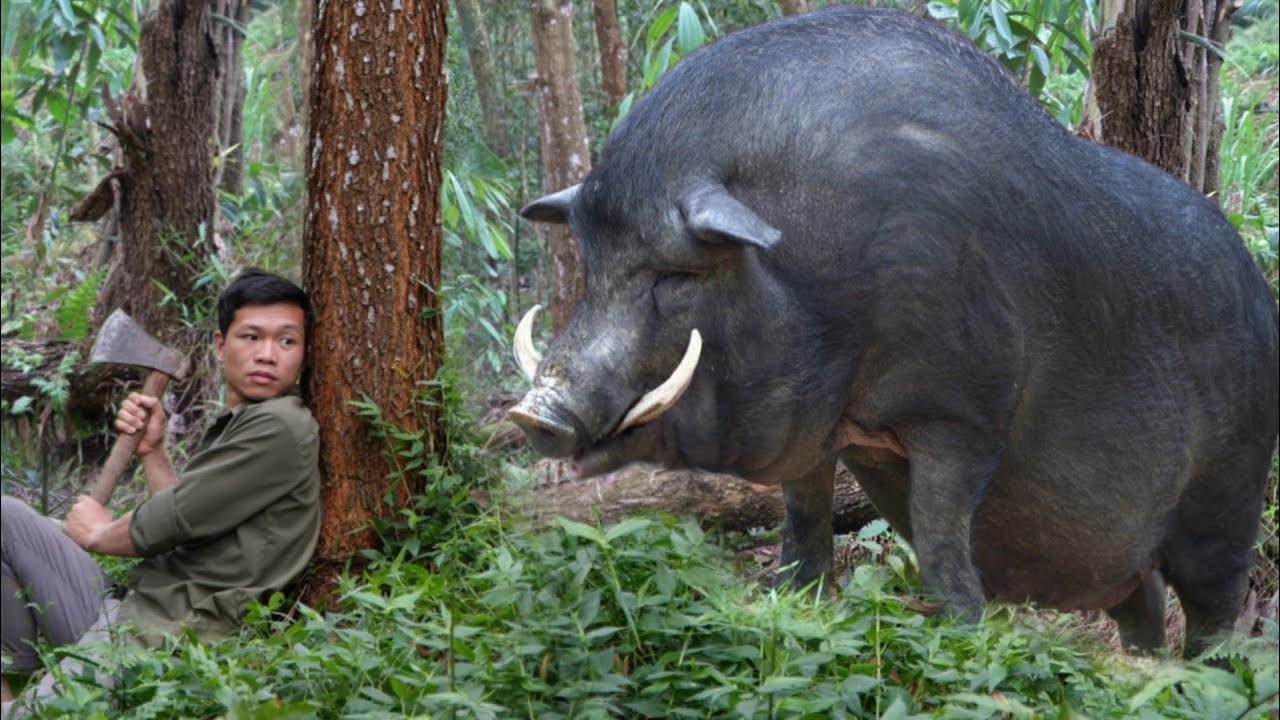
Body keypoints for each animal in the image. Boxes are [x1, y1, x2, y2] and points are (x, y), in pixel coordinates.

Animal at [507, 5, 1279, 656]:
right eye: (592, 259)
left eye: (675, 275)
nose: (534, 413)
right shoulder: (817, 429)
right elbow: (803, 526)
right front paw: (796, 607)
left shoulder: (963, 413)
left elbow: (938, 545)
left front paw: (961, 638)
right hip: (1131, 561)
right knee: (1142, 606)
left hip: (1230, 488)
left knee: (1216, 606)